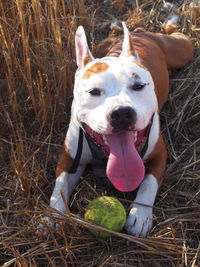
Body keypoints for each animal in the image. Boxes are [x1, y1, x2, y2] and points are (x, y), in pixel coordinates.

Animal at [47, 15, 194, 238]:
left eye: (138, 86)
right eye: (93, 91)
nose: (122, 113)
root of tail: (138, 32)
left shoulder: (159, 154)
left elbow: (148, 182)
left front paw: (140, 214)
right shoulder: (69, 158)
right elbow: (60, 186)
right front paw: (55, 215)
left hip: (182, 49)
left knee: (176, 34)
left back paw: (171, 21)